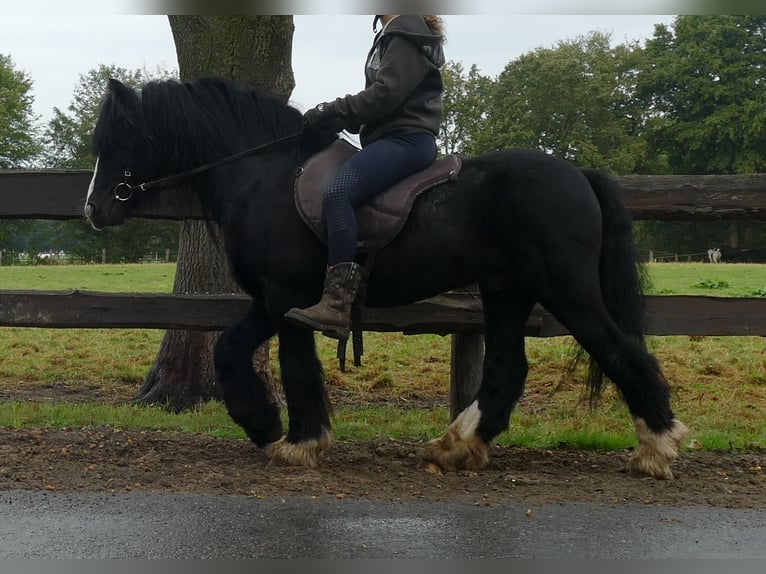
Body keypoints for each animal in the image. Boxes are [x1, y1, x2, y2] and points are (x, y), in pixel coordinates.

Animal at [84, 77, 688, 482]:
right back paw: (456, 446)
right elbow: (238, 353)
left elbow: (282, 363)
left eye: (121, 139)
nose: (93, 209)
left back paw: (657, 447)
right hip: (506, 290)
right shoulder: (274, 301)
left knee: (622, 351)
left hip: (566, 290)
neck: (266, 176)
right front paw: (273, 427)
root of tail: (577, 173)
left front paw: (291, 438)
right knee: (506, 367)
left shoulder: (285, 298)